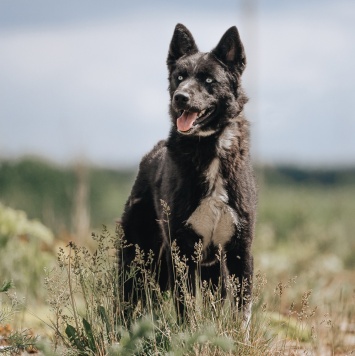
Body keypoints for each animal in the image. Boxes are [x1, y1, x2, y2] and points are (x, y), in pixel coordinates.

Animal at [121, 23, 258, 328]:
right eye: (180, 77)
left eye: (208, 80)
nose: (180, 97)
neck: (209, 148)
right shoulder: (181, 250)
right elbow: (185, 307)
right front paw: (189, 334)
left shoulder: (239, 250)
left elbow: (242, 312)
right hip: (136, 257)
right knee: (124, 301)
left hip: (212, 270)